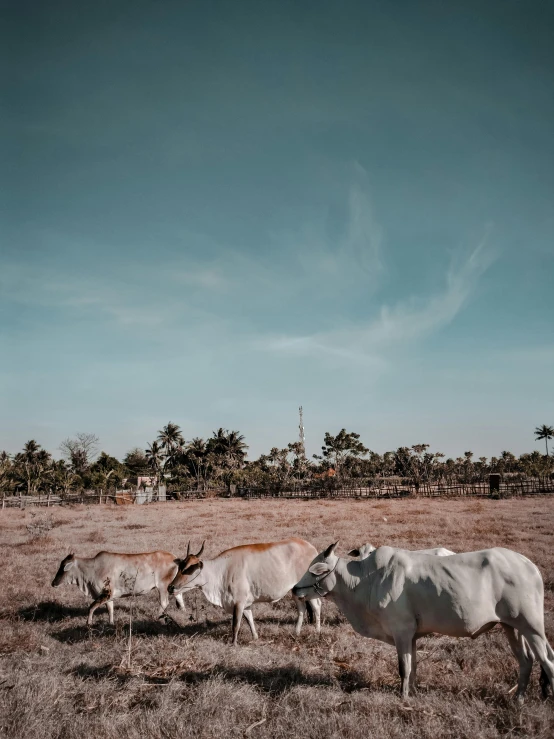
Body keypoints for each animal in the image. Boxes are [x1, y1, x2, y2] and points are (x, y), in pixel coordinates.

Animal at [51, 552, 183, 628]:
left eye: (64, 567)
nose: (53, 583)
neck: (92, 568)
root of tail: (175, 558)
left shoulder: (105, 593)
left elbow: (91, 607)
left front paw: (88, 623)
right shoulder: (109, 597)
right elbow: (110, 609)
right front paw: (111, 623)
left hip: (162, 587)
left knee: (164, 603)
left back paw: (157, 618)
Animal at [167, 536, 320, 648]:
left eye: (188, 569)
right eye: (180, 567)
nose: (171, 587)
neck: (221, 572)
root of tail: (311, 548)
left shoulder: (238, 602)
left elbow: (236, 624)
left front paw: (233, 643)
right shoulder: (245, 603)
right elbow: (250, 620)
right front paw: (255, 637)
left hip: (309, 588)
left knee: (316, 606)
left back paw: (317, 630)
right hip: (297, 590)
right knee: (302, 609)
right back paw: (297, 631)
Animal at [292, 540, 548, 704]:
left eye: (314, 571)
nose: (295, 589)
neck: (366, 580)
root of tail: (530, 565)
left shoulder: (402, 631)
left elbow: (403, 667)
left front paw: (403, 696)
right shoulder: (412, 636)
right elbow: (413, 666)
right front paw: (412, 692)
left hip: (532, 626)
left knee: (547, 660)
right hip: (512, 627)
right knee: (527, 661)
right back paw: (519, 700)